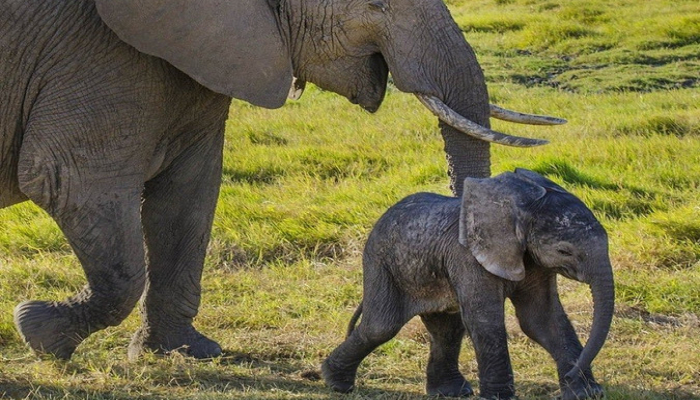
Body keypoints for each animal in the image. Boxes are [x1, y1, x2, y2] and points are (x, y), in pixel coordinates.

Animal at [0, 0, 564, 360]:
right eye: (377, 3)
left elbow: (187, 198)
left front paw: (189, 352)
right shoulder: (89, 54)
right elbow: (68, 183)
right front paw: (39, 333)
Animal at [322, 170, 612, 400]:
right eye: (564, 251)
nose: (573, 374)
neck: (520, 203)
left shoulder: (533, 262)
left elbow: (542, 319)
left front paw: (585, 393)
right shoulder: (467, 256)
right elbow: (485, 320)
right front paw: (499, 398)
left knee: (447, 330)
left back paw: (450, 392)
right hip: (380, 261)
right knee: (381, 326)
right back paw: (334, 383)